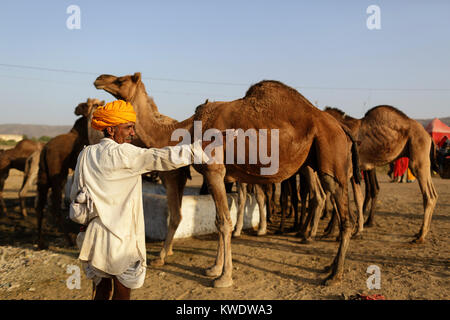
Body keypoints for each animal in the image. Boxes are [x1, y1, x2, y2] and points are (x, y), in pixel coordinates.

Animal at [35, 99, 104, 249]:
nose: (76, 108)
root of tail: (45, 149)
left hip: (43, 174)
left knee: (41, 205)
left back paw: (41, 242)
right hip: (58, 173)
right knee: (55, 205)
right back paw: (70, 240)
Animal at [326, 106, 438, 244]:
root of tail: (429, 136)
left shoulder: (348, 170)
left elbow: (339, 197)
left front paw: (337, 233)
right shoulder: (353, 173)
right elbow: (358, 198)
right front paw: (356, 231)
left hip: (418, 160)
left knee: (429, 195)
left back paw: (421, 237)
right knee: (434, 194)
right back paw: (419, 233)